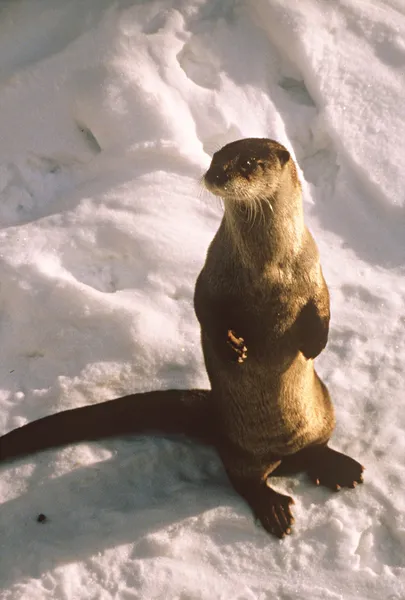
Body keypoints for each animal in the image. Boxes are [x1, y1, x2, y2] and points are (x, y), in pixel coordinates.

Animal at [0, 138, 362, 536]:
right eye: (217, 158)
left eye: (249, 162)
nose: (215, 174)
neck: (270, 270)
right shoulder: (212, 274)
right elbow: (204, 309)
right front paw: (230, 346)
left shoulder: (313, 271)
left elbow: (324, 308)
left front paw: (315, 344)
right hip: (241, 450)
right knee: (245, 480)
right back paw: (275, 508)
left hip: (325, 410)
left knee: (316, 448)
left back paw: (341, 468)